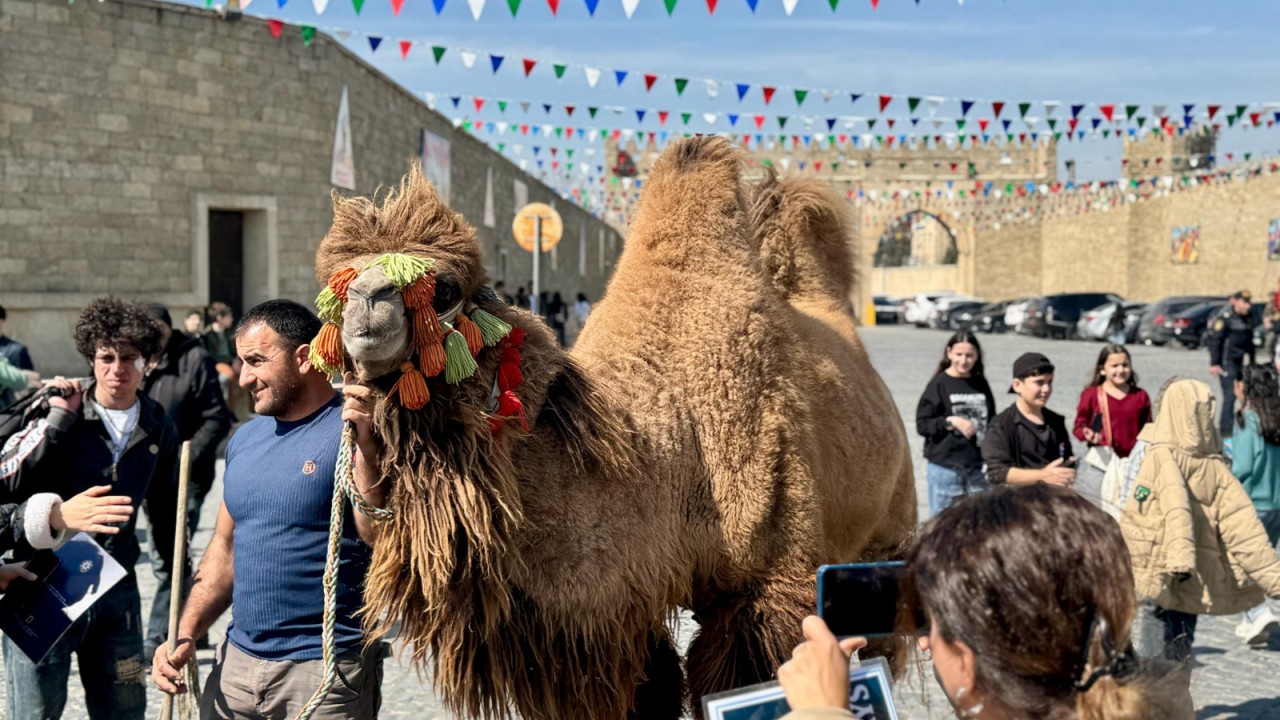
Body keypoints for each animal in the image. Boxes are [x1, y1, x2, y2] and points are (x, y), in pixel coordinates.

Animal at [313, 135, 916, 717]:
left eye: (444, 289)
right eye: (338, 286)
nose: (367, 303)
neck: (668, 451)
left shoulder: (766, 587)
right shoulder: (614, 614)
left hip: (884, 539)